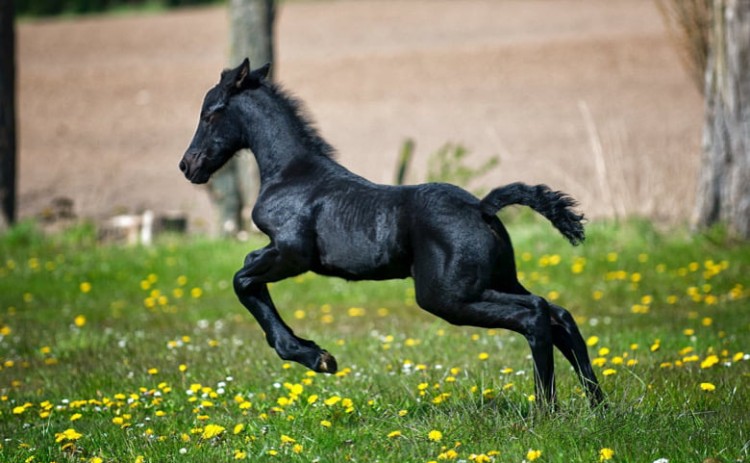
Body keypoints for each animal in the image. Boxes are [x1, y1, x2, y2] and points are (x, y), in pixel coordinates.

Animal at [179, 59, 604, 407]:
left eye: (210, 113)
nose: (188, 166)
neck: (292, 174)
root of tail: (482, 207)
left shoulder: (292, 253)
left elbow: (242, 279)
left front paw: (316, 357)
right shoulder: (280, 253)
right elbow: (248, 274)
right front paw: (314, 353)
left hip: (448, 296)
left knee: (535, 314)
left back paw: (546, 409)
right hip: (496, 280)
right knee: (558, 313)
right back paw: (597, 405)